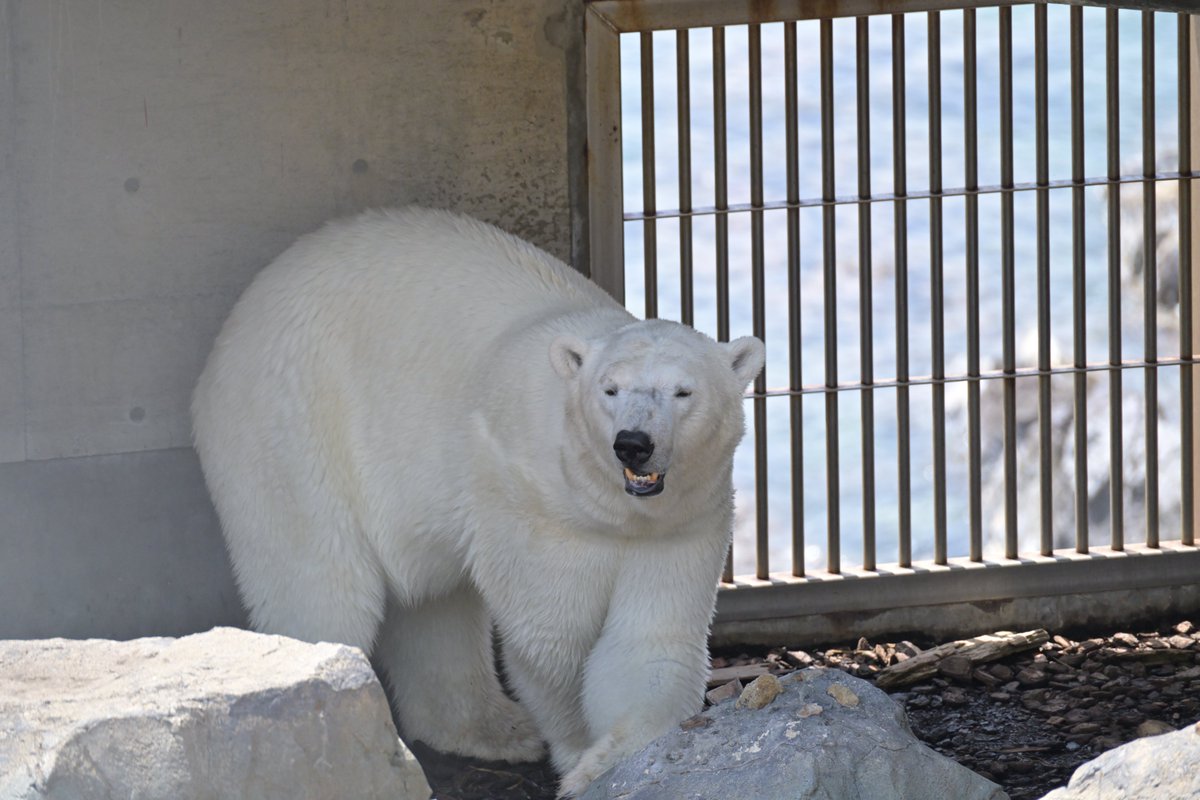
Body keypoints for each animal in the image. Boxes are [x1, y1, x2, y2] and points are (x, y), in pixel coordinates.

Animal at [192, 209, 763, 796]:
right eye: (610, 389)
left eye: (683, 392)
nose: (633, 443)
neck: (613, 509)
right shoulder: (531, 501)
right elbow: (550, 638)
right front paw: (574, 746)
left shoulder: (684, 520)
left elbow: (652, 638)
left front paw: (606, 759)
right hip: (292, 427)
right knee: (323, 590)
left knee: (433, 601)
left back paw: (495, 730)